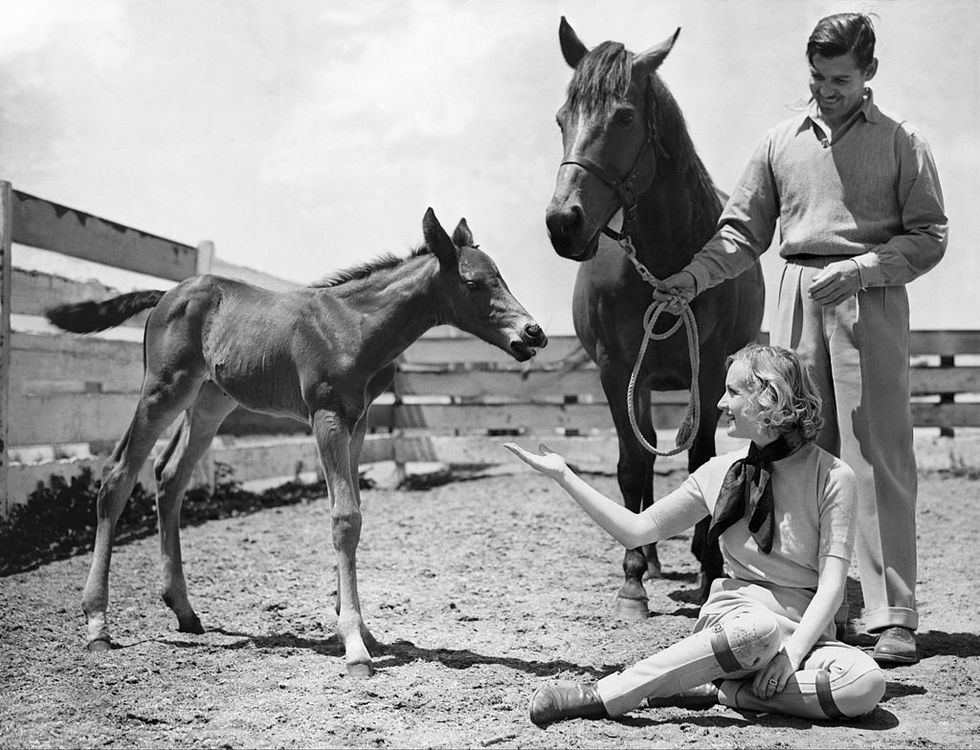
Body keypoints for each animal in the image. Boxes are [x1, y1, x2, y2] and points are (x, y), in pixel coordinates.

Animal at [44, 210, 544, 676]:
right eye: (473, 283)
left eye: (501, 276)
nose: (533, 333)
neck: (356, 326)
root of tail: (168, 293)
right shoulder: (326, 416)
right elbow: (345, 518)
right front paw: (354, 646)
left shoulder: (358, 421)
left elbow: (352, 509)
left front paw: (360, 627)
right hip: (163, 390)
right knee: (117, 476)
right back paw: (97, 624)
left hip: (210, 401)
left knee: (170, 478)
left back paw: (184, 611)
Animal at [544, 19, 764, 616]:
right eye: (562, 117)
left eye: (624, 117)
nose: (563, 222)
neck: (666, 258)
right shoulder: (616, 371)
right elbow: (631, 465)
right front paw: (632, 581)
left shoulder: (708, 372)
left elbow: (703, 460)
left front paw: (710, 570)